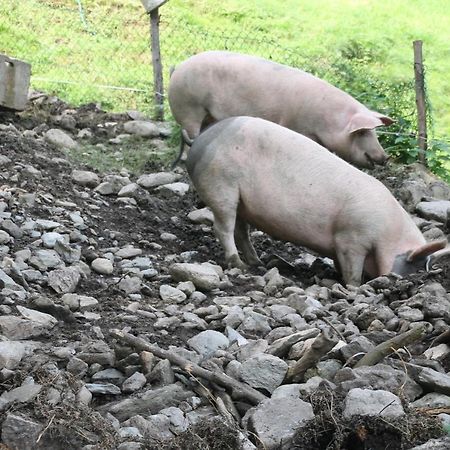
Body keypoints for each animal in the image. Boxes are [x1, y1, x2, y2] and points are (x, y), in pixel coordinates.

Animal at [169, 49, 394, 169]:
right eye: (362, 132)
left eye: (375, 133)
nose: (385, 157)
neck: (328, 121)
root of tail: (177, 68)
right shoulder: (297, 126)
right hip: (190, 108)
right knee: (190, 134)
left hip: (206, 114)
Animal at [185, 115, 446, 284]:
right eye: (413, 265)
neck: (388, 234)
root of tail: (200, 143)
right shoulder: (351, 238)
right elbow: (352, 270)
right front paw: (355, 286)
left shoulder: (341, 245)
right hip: (222, 186)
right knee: (223, 228)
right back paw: (238, 264)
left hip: (241, 201)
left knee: (241, 231)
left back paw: (257, 263)